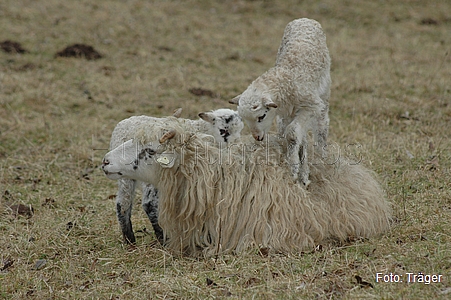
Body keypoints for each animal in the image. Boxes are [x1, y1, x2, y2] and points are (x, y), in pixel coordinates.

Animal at [107, 109, 244, 245]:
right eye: (224, 131)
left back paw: (129, 240)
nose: (236, 146)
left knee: (122, 204)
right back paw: (163, 238)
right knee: (149, 204)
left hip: (125, 176)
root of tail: (124, 131)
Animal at [230, 18, 332, 188]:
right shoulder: (289, 111)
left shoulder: (310, 106)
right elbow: (295, 136)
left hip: (324, 94)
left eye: (261, 116)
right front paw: (300, 172)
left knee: (321, 127)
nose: (257, 137)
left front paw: (294, 169)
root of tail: (305, 19)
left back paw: (322, 156)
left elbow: (292, 134)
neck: (287, 76)